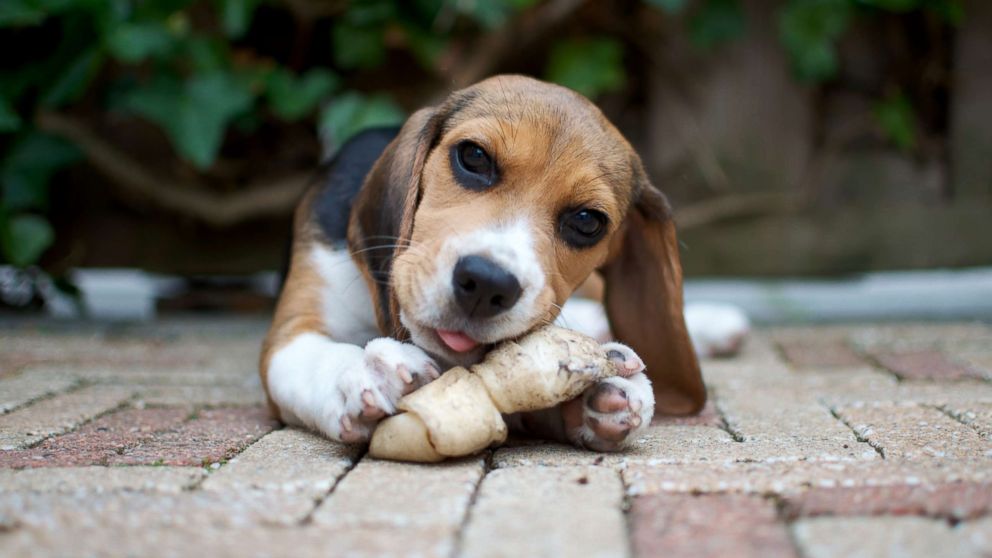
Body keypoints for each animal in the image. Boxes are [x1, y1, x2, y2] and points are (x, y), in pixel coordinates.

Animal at [258, 74, 704, 452]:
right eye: (473, 157)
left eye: (586, 221)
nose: (488, 284)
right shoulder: (291, 331)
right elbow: (318, 358)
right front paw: (365, 369)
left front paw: (594, 396)